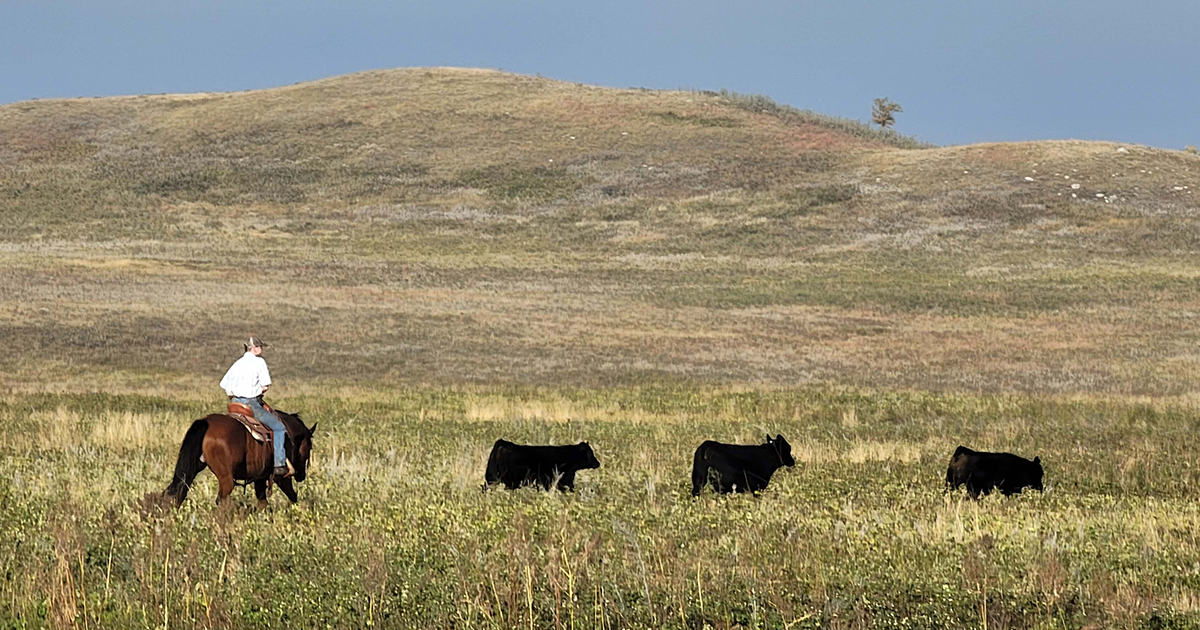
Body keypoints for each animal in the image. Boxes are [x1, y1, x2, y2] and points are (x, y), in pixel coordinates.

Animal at [164, 408, 316, 506]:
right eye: (309, 447)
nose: (301, 476)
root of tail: (206, 422)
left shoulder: (260, 478)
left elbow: (263, 503)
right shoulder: (281, 476)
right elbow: (292, 496)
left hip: (193, 468)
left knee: (178, 490)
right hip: (226, 478)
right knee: (221, 501)